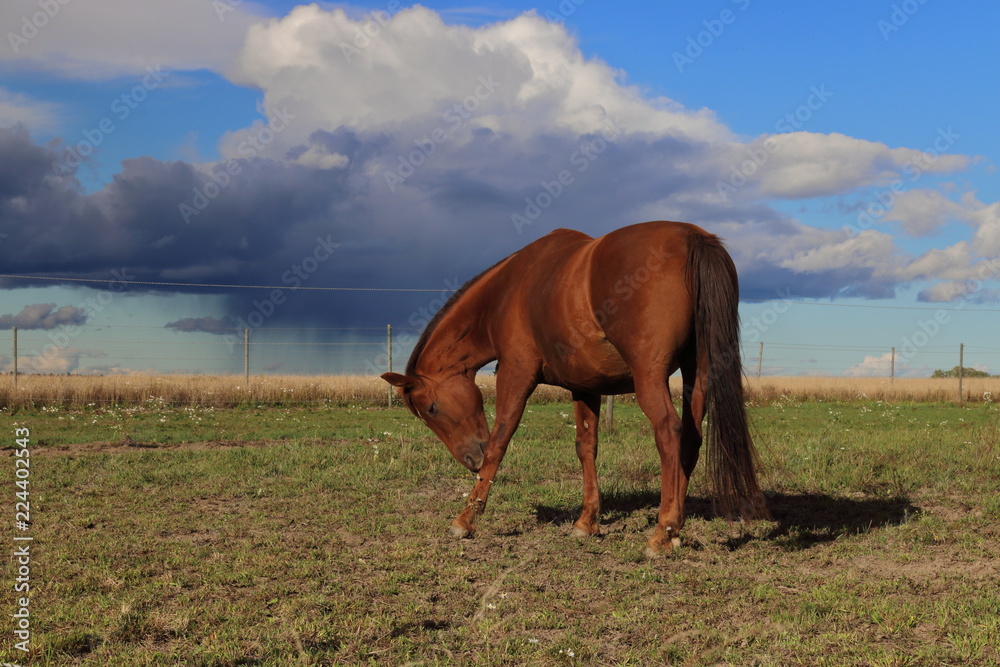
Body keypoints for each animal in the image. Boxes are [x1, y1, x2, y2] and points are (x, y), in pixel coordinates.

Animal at [383, 220, 768, 556]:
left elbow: (500, 440)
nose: (470, 460)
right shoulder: (585, 387)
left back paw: (663, 531)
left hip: (649, 377)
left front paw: (466, 519)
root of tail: (693, 237)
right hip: (697, 373)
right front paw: (586, 521)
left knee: (669, 432)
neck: (508, 292)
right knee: (690, 437)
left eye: (431, 409)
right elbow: (586, 447)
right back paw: (676, 529)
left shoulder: (516, 375)